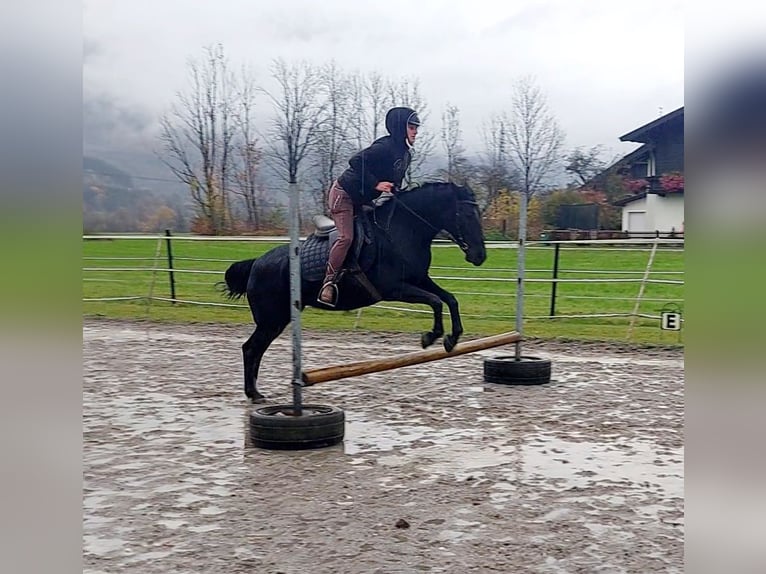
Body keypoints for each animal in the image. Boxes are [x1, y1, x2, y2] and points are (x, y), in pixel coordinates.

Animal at [221, 181, 487, 402]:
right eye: (466, 214)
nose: (480, 256)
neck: (402, 231)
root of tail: (256, 263)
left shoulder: (420, 280)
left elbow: (449, 299)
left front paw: (452, 338)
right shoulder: (394, 289)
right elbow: (436, 302)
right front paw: (431, 337)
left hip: (278, 319)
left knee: (255, 349)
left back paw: (254, 392)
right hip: (272, 320)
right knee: (251, 349)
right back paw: (254, 393)